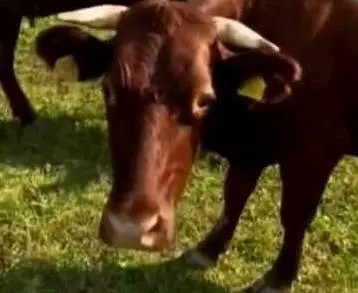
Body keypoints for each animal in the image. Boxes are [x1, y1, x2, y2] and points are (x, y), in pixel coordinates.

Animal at [34, 0, 358, 290]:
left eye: (203, 99)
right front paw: (208, 249)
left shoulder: (313, 152)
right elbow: (234, 195)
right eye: (109, 88)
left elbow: (294, 216)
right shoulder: (249, 147)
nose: (130, 230)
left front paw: (278, 278)